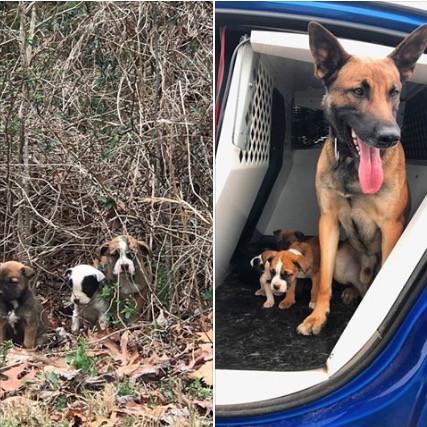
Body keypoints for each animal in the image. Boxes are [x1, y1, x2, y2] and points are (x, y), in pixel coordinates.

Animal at [298, 22, 427, 338]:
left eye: (394, 92)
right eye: (358, 91)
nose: (391, 137)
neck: (351, 166)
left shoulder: (391, 227)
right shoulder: (328, 221)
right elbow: (323, 280)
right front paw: (318, 315)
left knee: (370, 282)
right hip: (343, 259)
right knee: (349, 281)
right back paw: (349, 292)